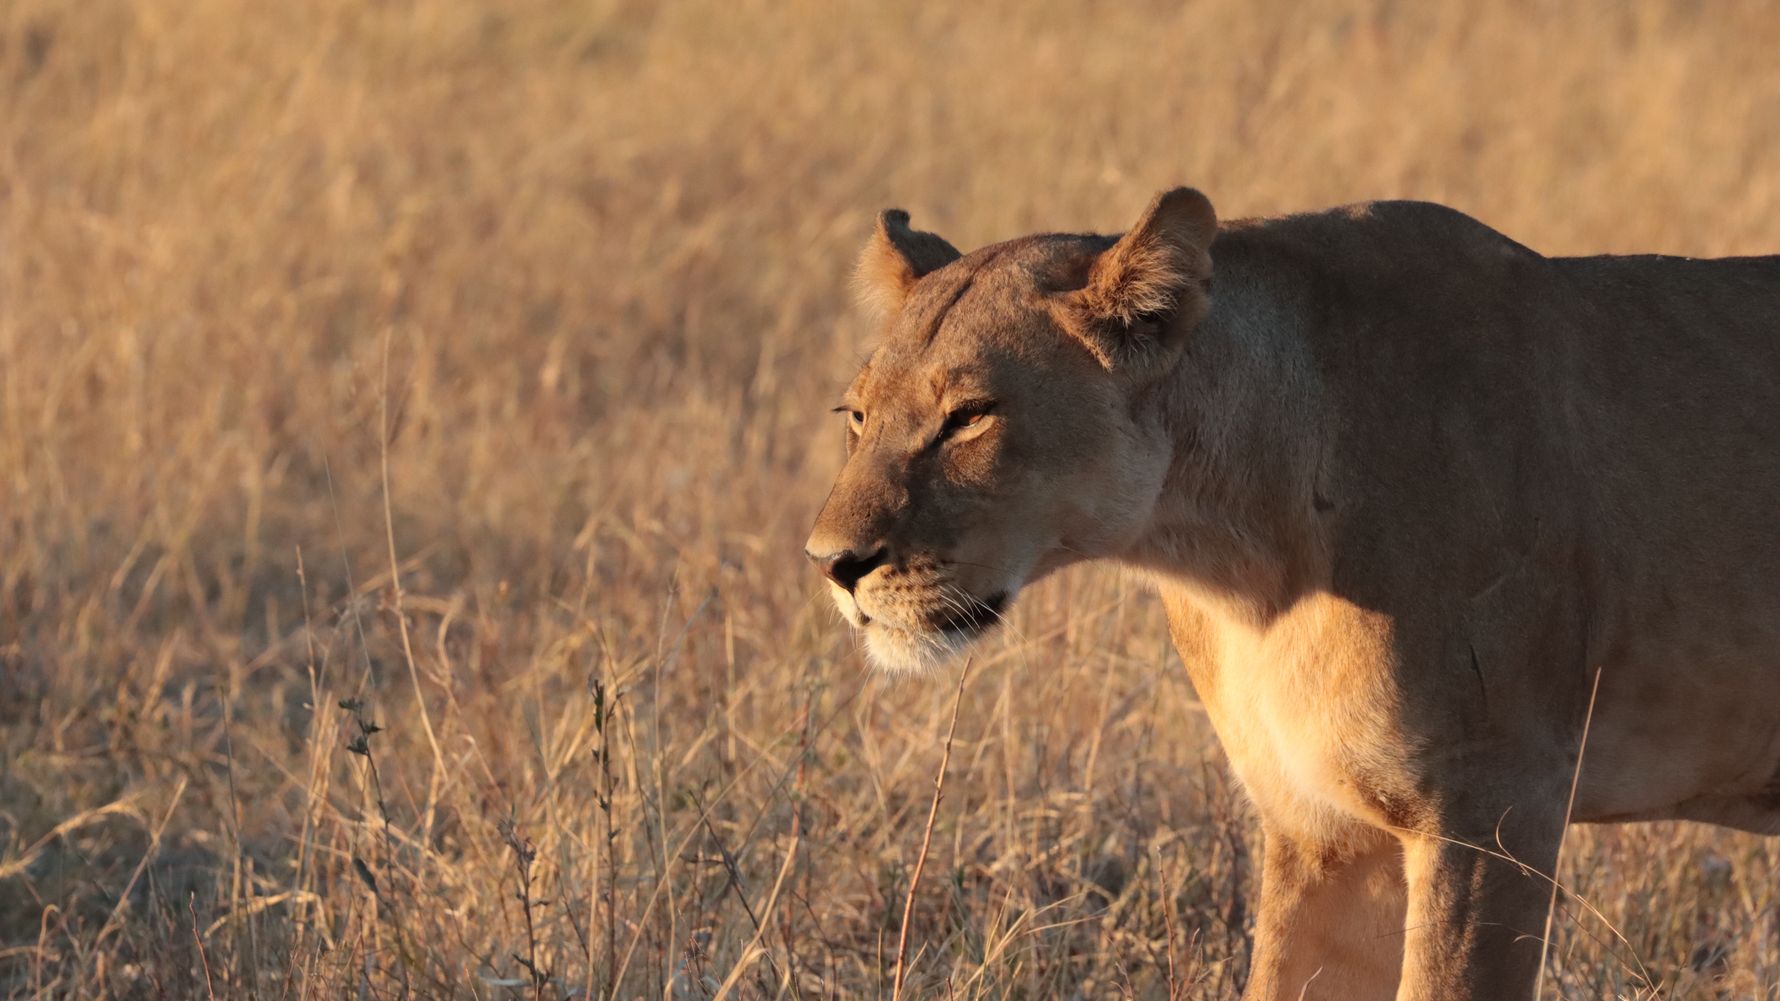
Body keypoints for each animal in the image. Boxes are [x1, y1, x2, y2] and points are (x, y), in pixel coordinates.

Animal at [804, 188, 1780, 1000]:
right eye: (856, 414)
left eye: (970, 417)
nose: (831, 563)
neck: (1240, 562)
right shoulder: (1322, 827)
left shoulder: (1497, 807)